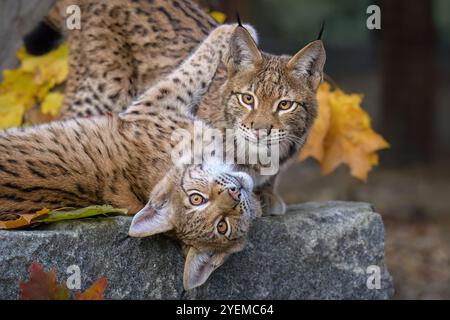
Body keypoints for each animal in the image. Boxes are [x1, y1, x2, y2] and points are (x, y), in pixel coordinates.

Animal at [0, 25, 260, 290]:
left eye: (222, 226)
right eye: (197, 199)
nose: (235, 192)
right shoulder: (154, 103)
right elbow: (193, 69)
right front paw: (230, 31)